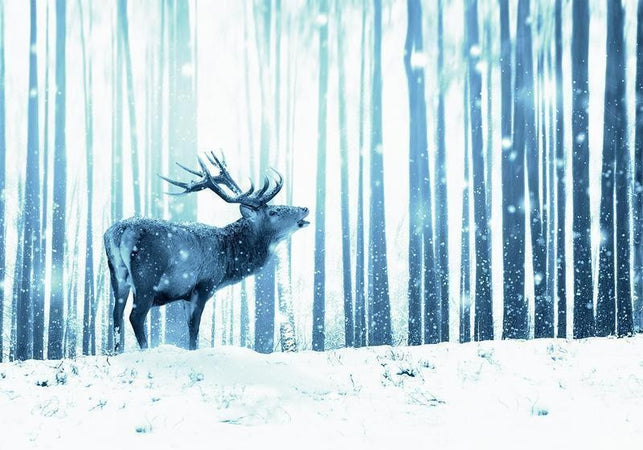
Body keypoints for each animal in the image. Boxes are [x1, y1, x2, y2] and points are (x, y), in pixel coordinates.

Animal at [104, 151, 309, 351]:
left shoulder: (185, 295)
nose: (305, 208)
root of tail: (119, 232)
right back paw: (145, 350)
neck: (228, 260)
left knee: (116, 315)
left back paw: (117, 352)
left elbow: (189, 328)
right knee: (135, 316)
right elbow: (194, 328)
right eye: (273, 212)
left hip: (117, 275)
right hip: (147, 275)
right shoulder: (204, 285)